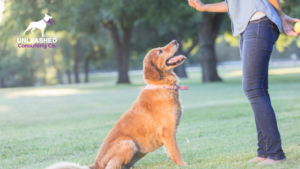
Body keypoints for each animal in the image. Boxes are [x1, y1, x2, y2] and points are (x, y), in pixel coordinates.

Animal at [45, 40, 189, 169]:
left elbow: (171, 154)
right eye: (160, 51)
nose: (175, 40)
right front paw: (184, 165)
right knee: (111, 167)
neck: (161, 86)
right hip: (128, 144)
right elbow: (176, 153)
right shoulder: (167, 132)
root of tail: (96, 164)